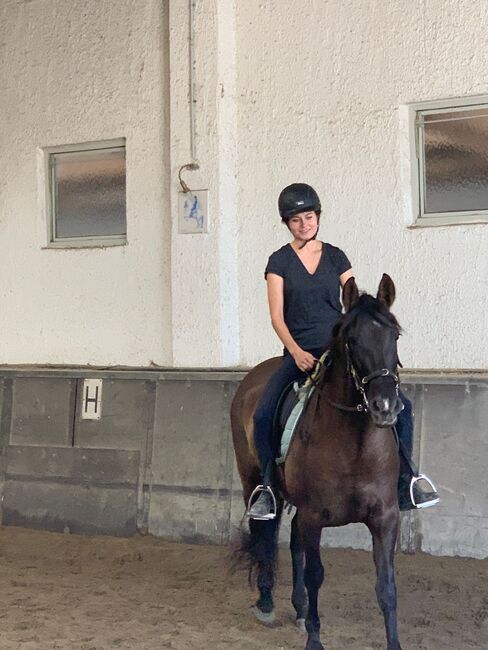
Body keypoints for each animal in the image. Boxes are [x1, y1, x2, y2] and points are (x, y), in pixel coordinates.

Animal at [232, 274, 404, 648]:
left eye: (395, 336)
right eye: (352, 340)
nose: (385, 407)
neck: (355, 447)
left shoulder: (385, 518)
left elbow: (386, 585)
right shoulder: (315, 516)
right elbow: (315, 575)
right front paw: (314, 639)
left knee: (293, 541)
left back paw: (297, 609)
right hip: (254, 481)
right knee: (264, 534)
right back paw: (266, 603)